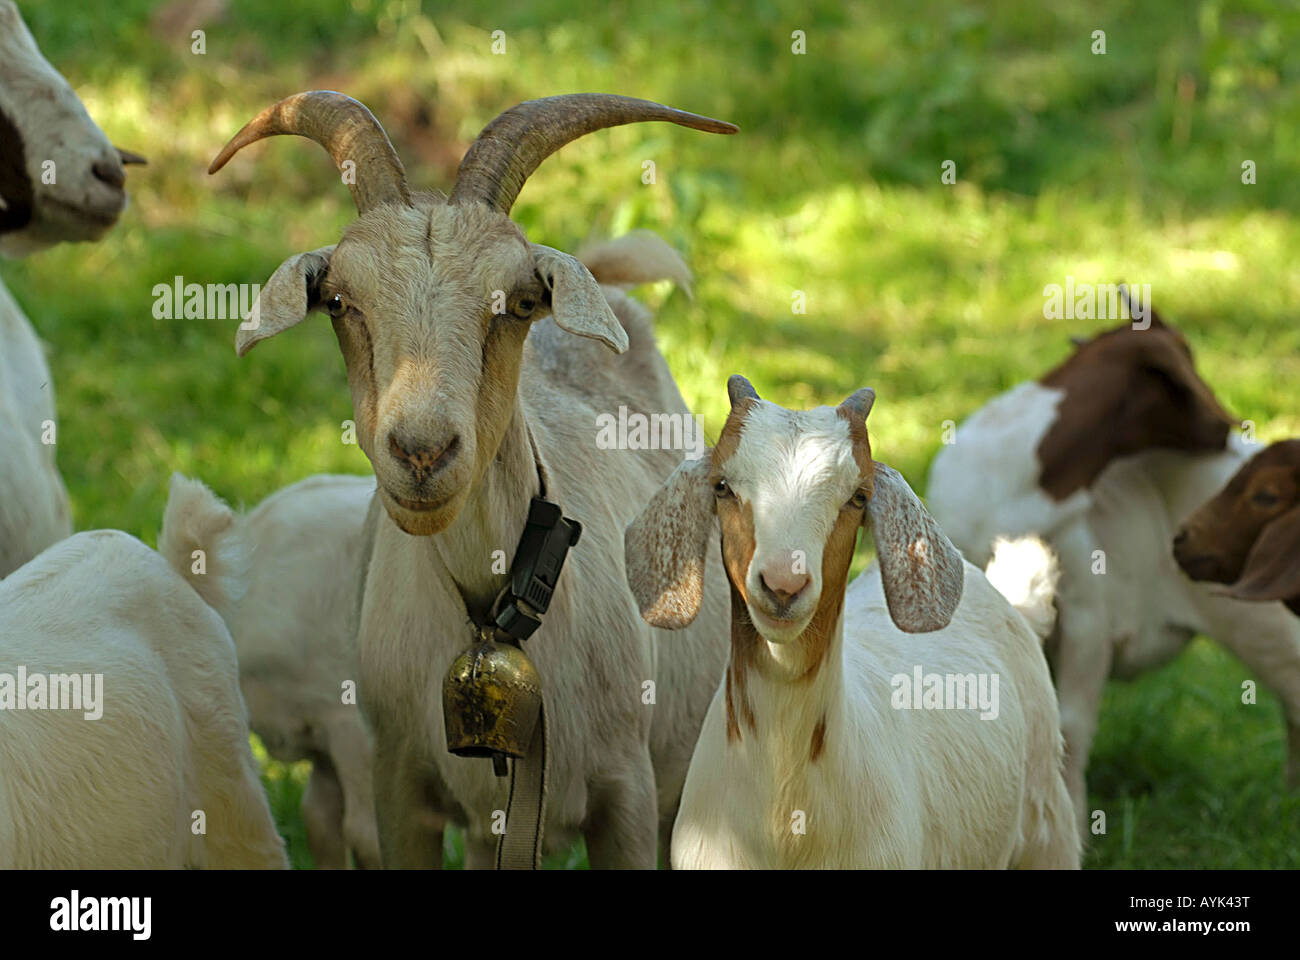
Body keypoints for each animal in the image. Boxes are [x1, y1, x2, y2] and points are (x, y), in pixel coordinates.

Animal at [209, 91, 737, 867]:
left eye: (519, 301)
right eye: (338, 301)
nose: (422, 451)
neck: (491, 608)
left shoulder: (627, 795)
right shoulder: (399, 785)